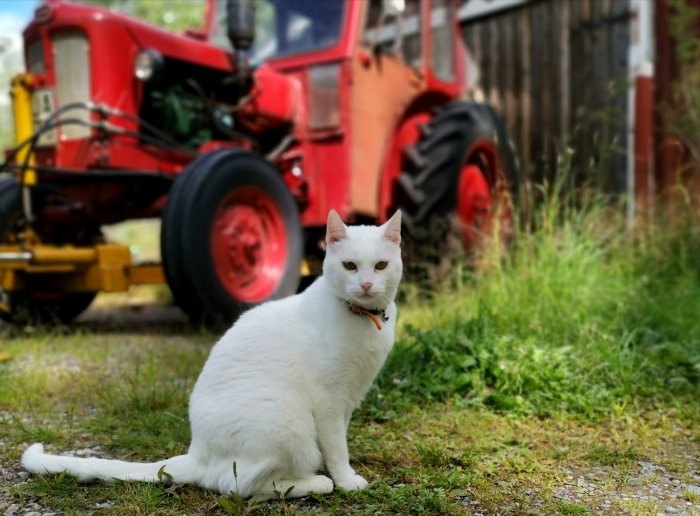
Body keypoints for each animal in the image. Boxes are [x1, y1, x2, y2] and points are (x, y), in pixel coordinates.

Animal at [21, 210, 402, 500]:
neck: (363, 319)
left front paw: (342, 471)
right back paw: (315, 482)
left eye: (380, 266)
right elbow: (336, 446)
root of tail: (198, 453)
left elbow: (338, 440)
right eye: (350, 266)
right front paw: (345, 479)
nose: (366, 284)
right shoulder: (328, 401)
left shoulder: (348, 399)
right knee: (240, 485)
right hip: (287, 423)